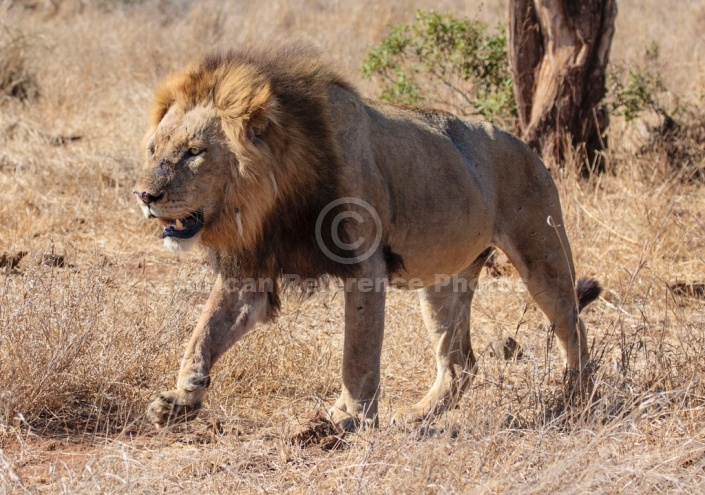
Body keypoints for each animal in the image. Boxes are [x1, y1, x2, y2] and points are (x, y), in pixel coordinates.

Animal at [136, 45, 600, 430]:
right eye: (154, 149)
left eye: (195, 152)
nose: (144, 195)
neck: (273, 200)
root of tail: (526, 146)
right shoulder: (249, 272)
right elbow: (203, 334)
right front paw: (180, 400)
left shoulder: (365, 268)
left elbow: (357, 353)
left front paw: (351, 417)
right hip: (443, 282)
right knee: (460, 363)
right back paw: (417, 415)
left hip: (544, 255)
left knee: (572, 327)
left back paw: (573, 403)